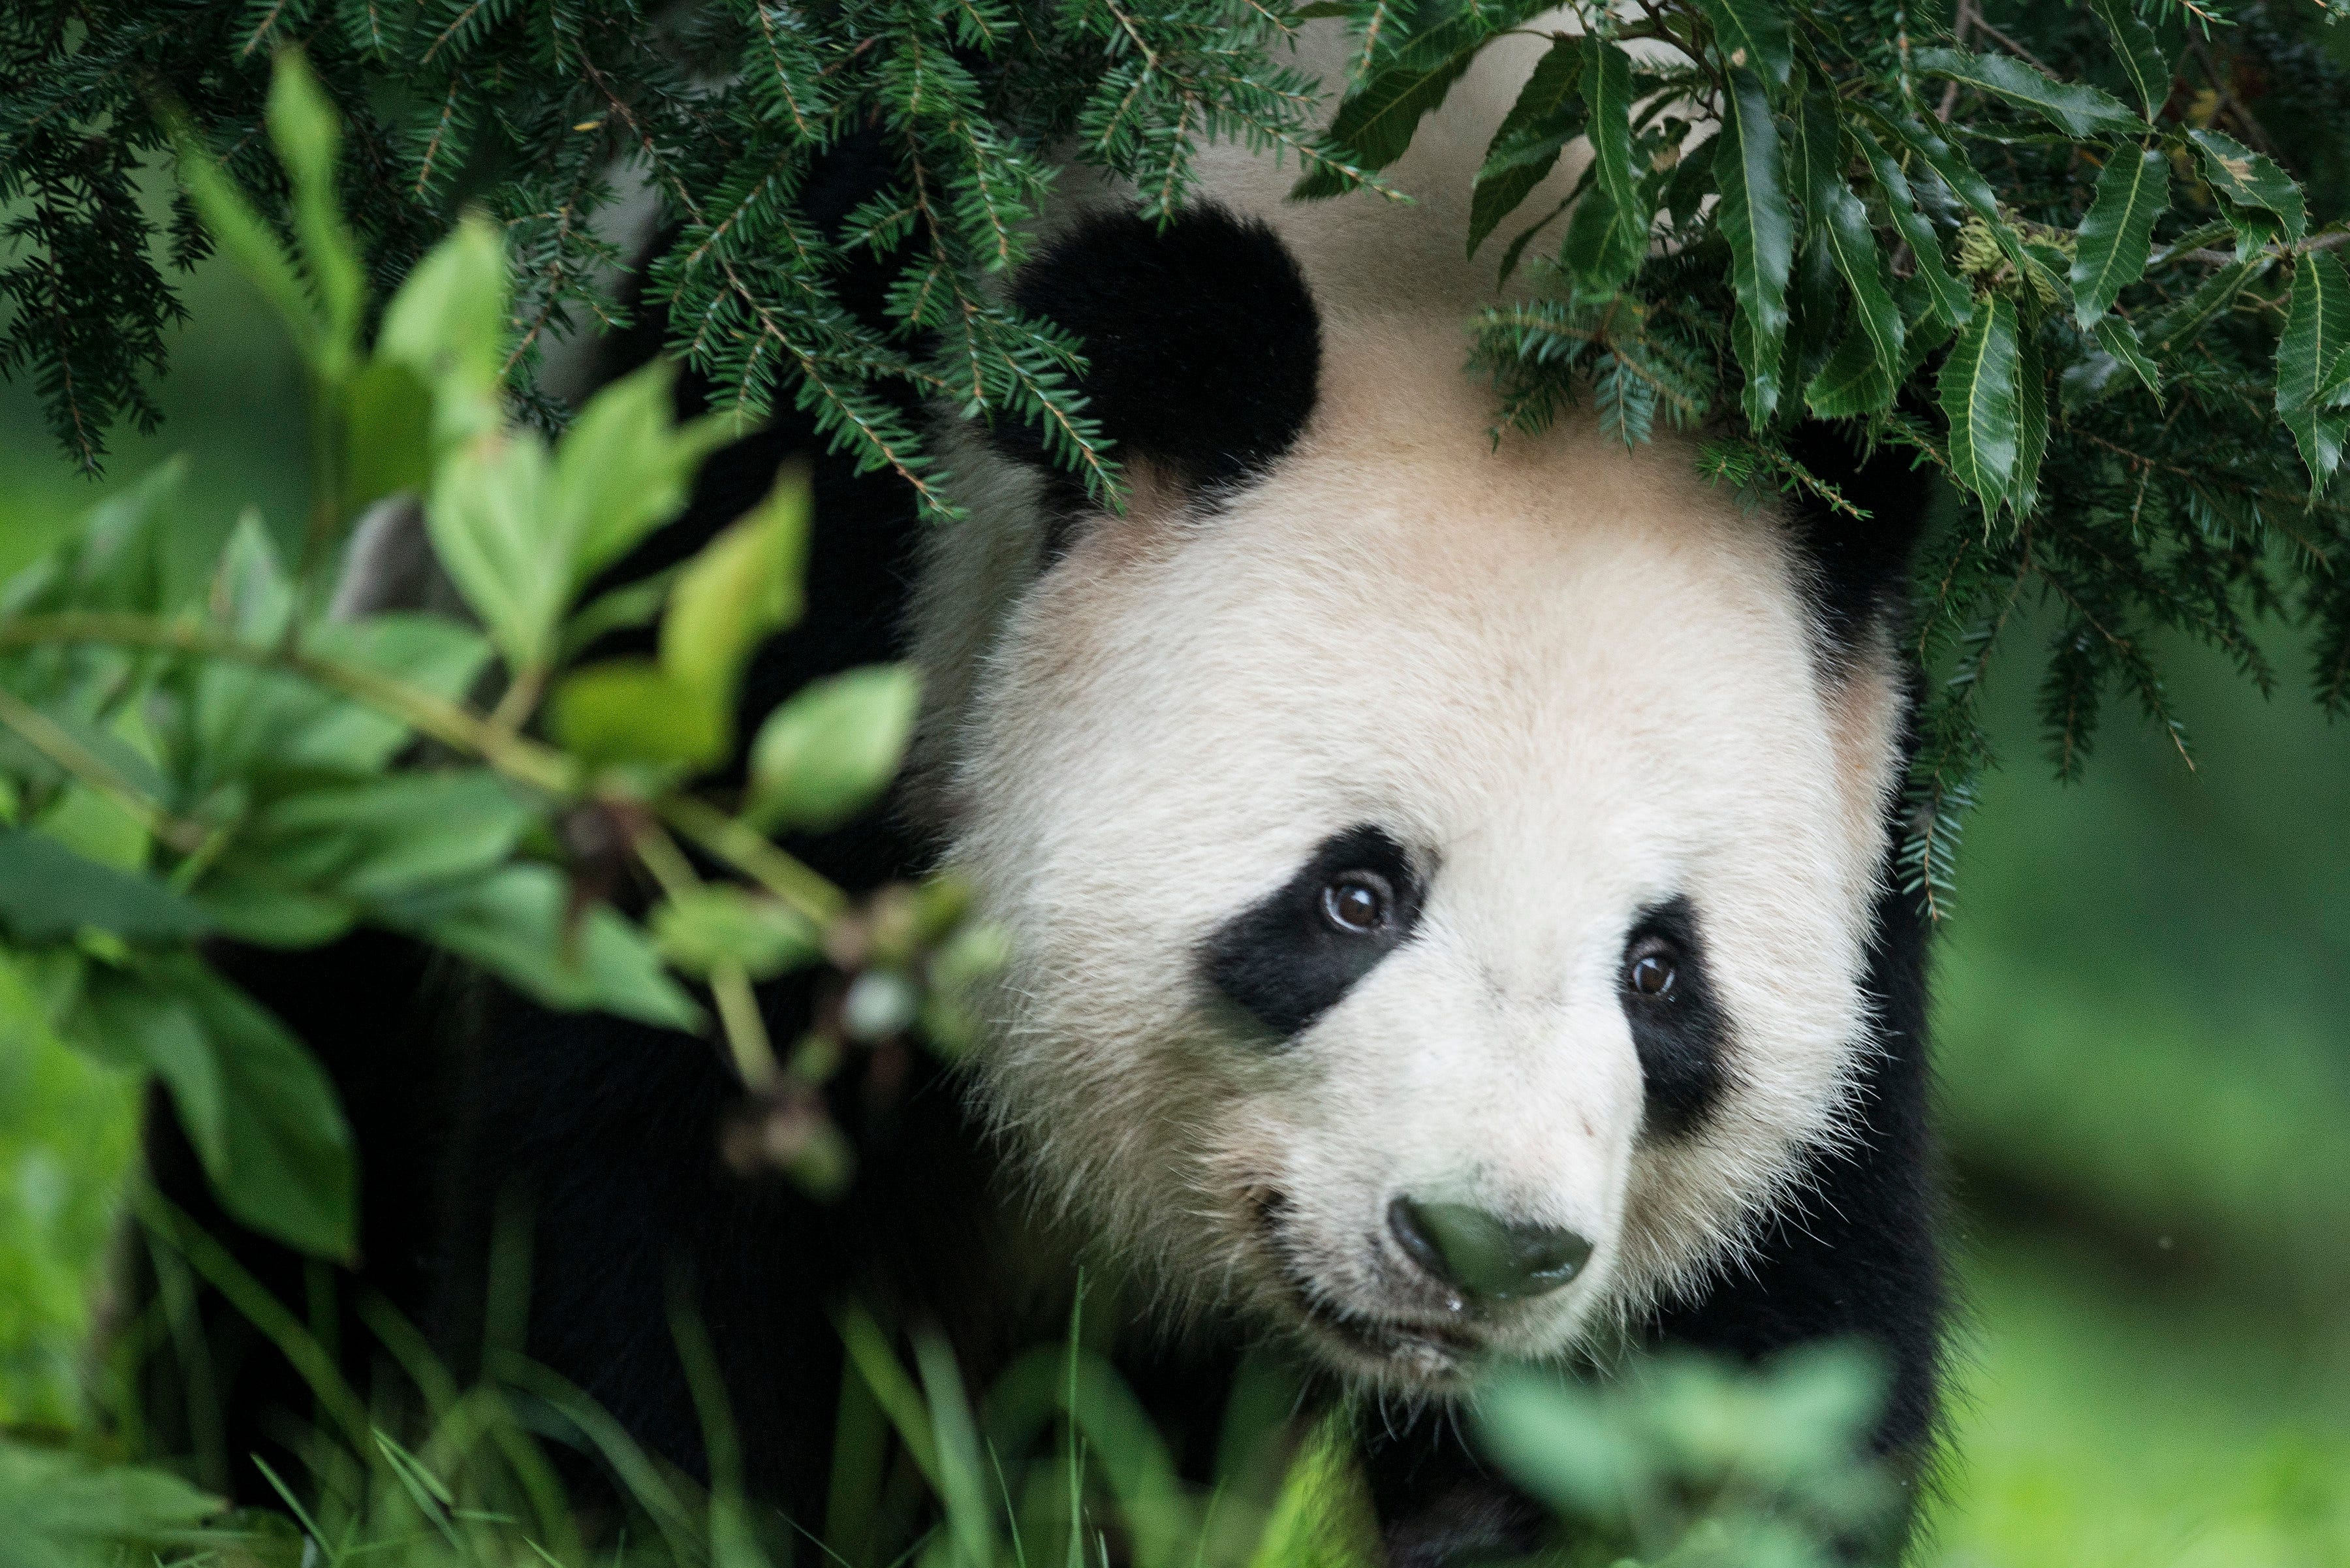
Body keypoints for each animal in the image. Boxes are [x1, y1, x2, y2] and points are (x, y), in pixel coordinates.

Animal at [143, 19, 1944, 1567]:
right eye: (1354, 894)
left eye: (1660, 973)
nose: (1483, 1245)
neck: (1452, 257)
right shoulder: (815, 533)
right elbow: (655, 1164)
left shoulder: (1881, 823)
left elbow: (1764, 1356)